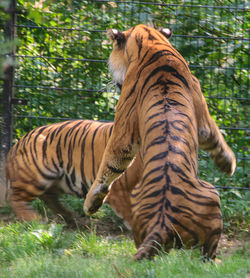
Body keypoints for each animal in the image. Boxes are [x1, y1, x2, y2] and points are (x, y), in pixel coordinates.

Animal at [4, 120, 143, 226]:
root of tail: (16, 145)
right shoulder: (119, 190)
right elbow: (132, 212)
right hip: (40, 174)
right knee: (15, 198)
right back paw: (35, 219)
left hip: (59, 181)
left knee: (49, 197)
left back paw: (71, 217)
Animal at [84, 24, 236, 260]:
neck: (151, 41)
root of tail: (163, 222)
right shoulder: (201, 119)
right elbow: (215, 137)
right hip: (212, 194)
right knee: (205, 257)